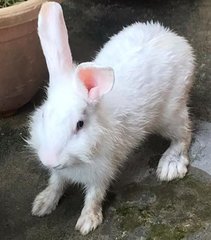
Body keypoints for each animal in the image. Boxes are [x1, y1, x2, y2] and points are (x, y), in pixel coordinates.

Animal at [28, 1, 195, 234]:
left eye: (80, 124)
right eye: (43, 115)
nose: (49, 160)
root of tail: (172, 36)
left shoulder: (102, 170)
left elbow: (94, 195)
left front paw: (87, 222)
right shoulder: (60, 173)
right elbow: (56, 182)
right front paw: (42, 204)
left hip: (171, 113)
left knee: (184, 133)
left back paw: (171, 166)